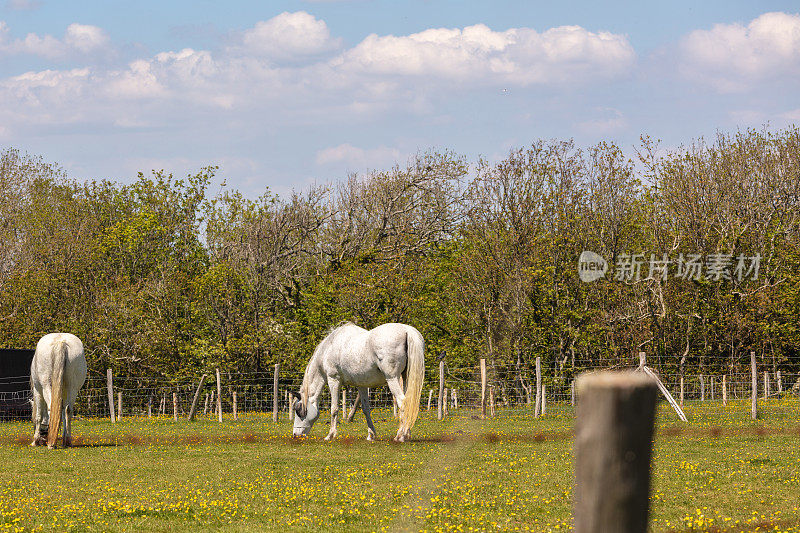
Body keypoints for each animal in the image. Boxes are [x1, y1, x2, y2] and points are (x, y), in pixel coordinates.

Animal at [292, 320, 424, 440]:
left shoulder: (333, 380)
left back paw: (400, 436)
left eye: (298, 410)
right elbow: (366, 409)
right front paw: (371, 435)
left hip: (392, 379)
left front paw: (330, 435)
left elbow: (334, 408)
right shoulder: (362, 385)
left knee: (403, 402)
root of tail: (407, 330)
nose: (295, 435)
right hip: (405, 378)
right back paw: (406, 434)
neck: (329, 347)